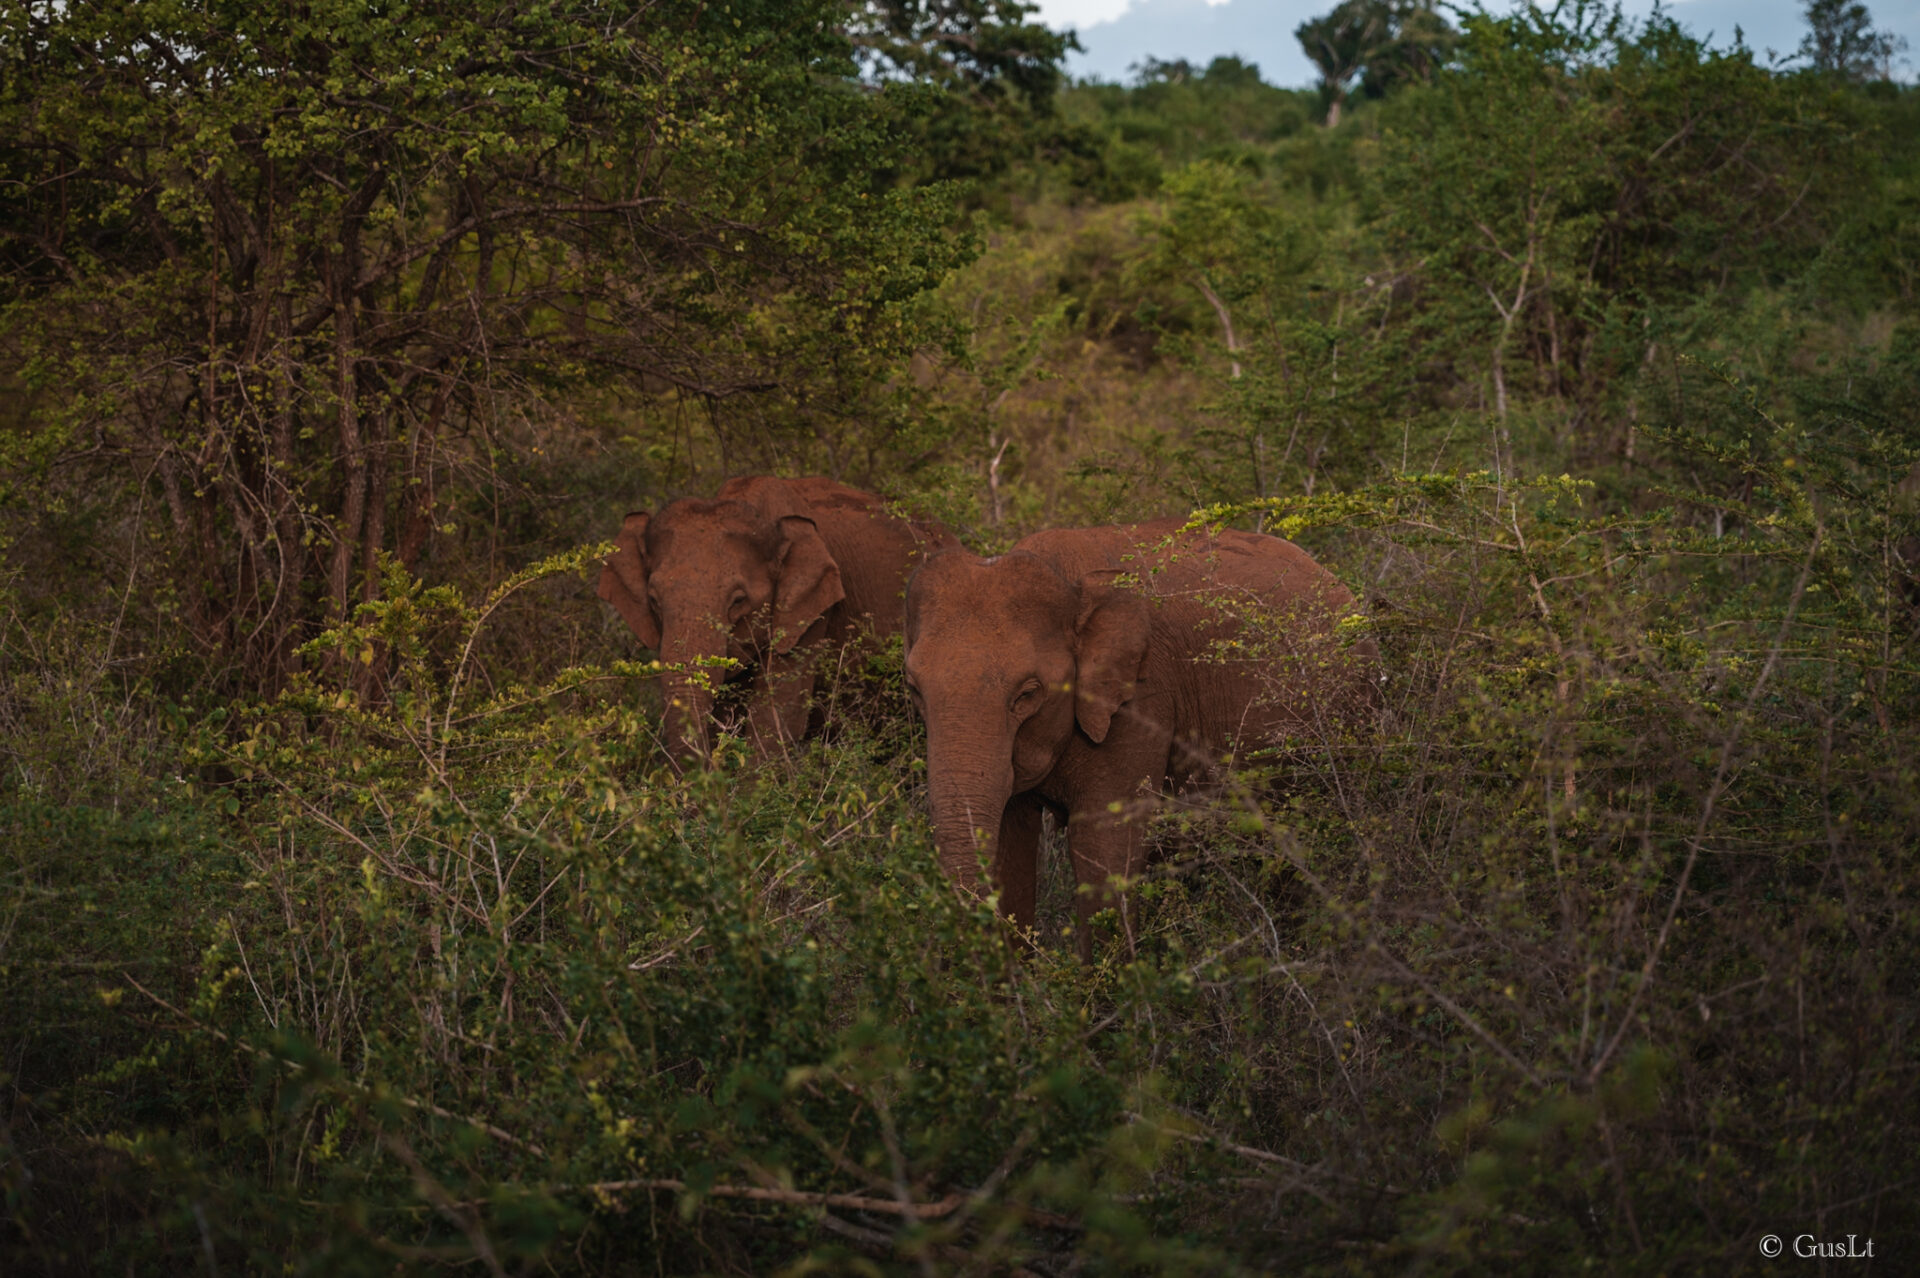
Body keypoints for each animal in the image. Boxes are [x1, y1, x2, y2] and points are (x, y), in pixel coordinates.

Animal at [902, 518, 1382, 955]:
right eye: (914, 688)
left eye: (1028, 693)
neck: (1071, 586)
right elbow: (1010, 844)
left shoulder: (1143, 699)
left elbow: (1104, 848)